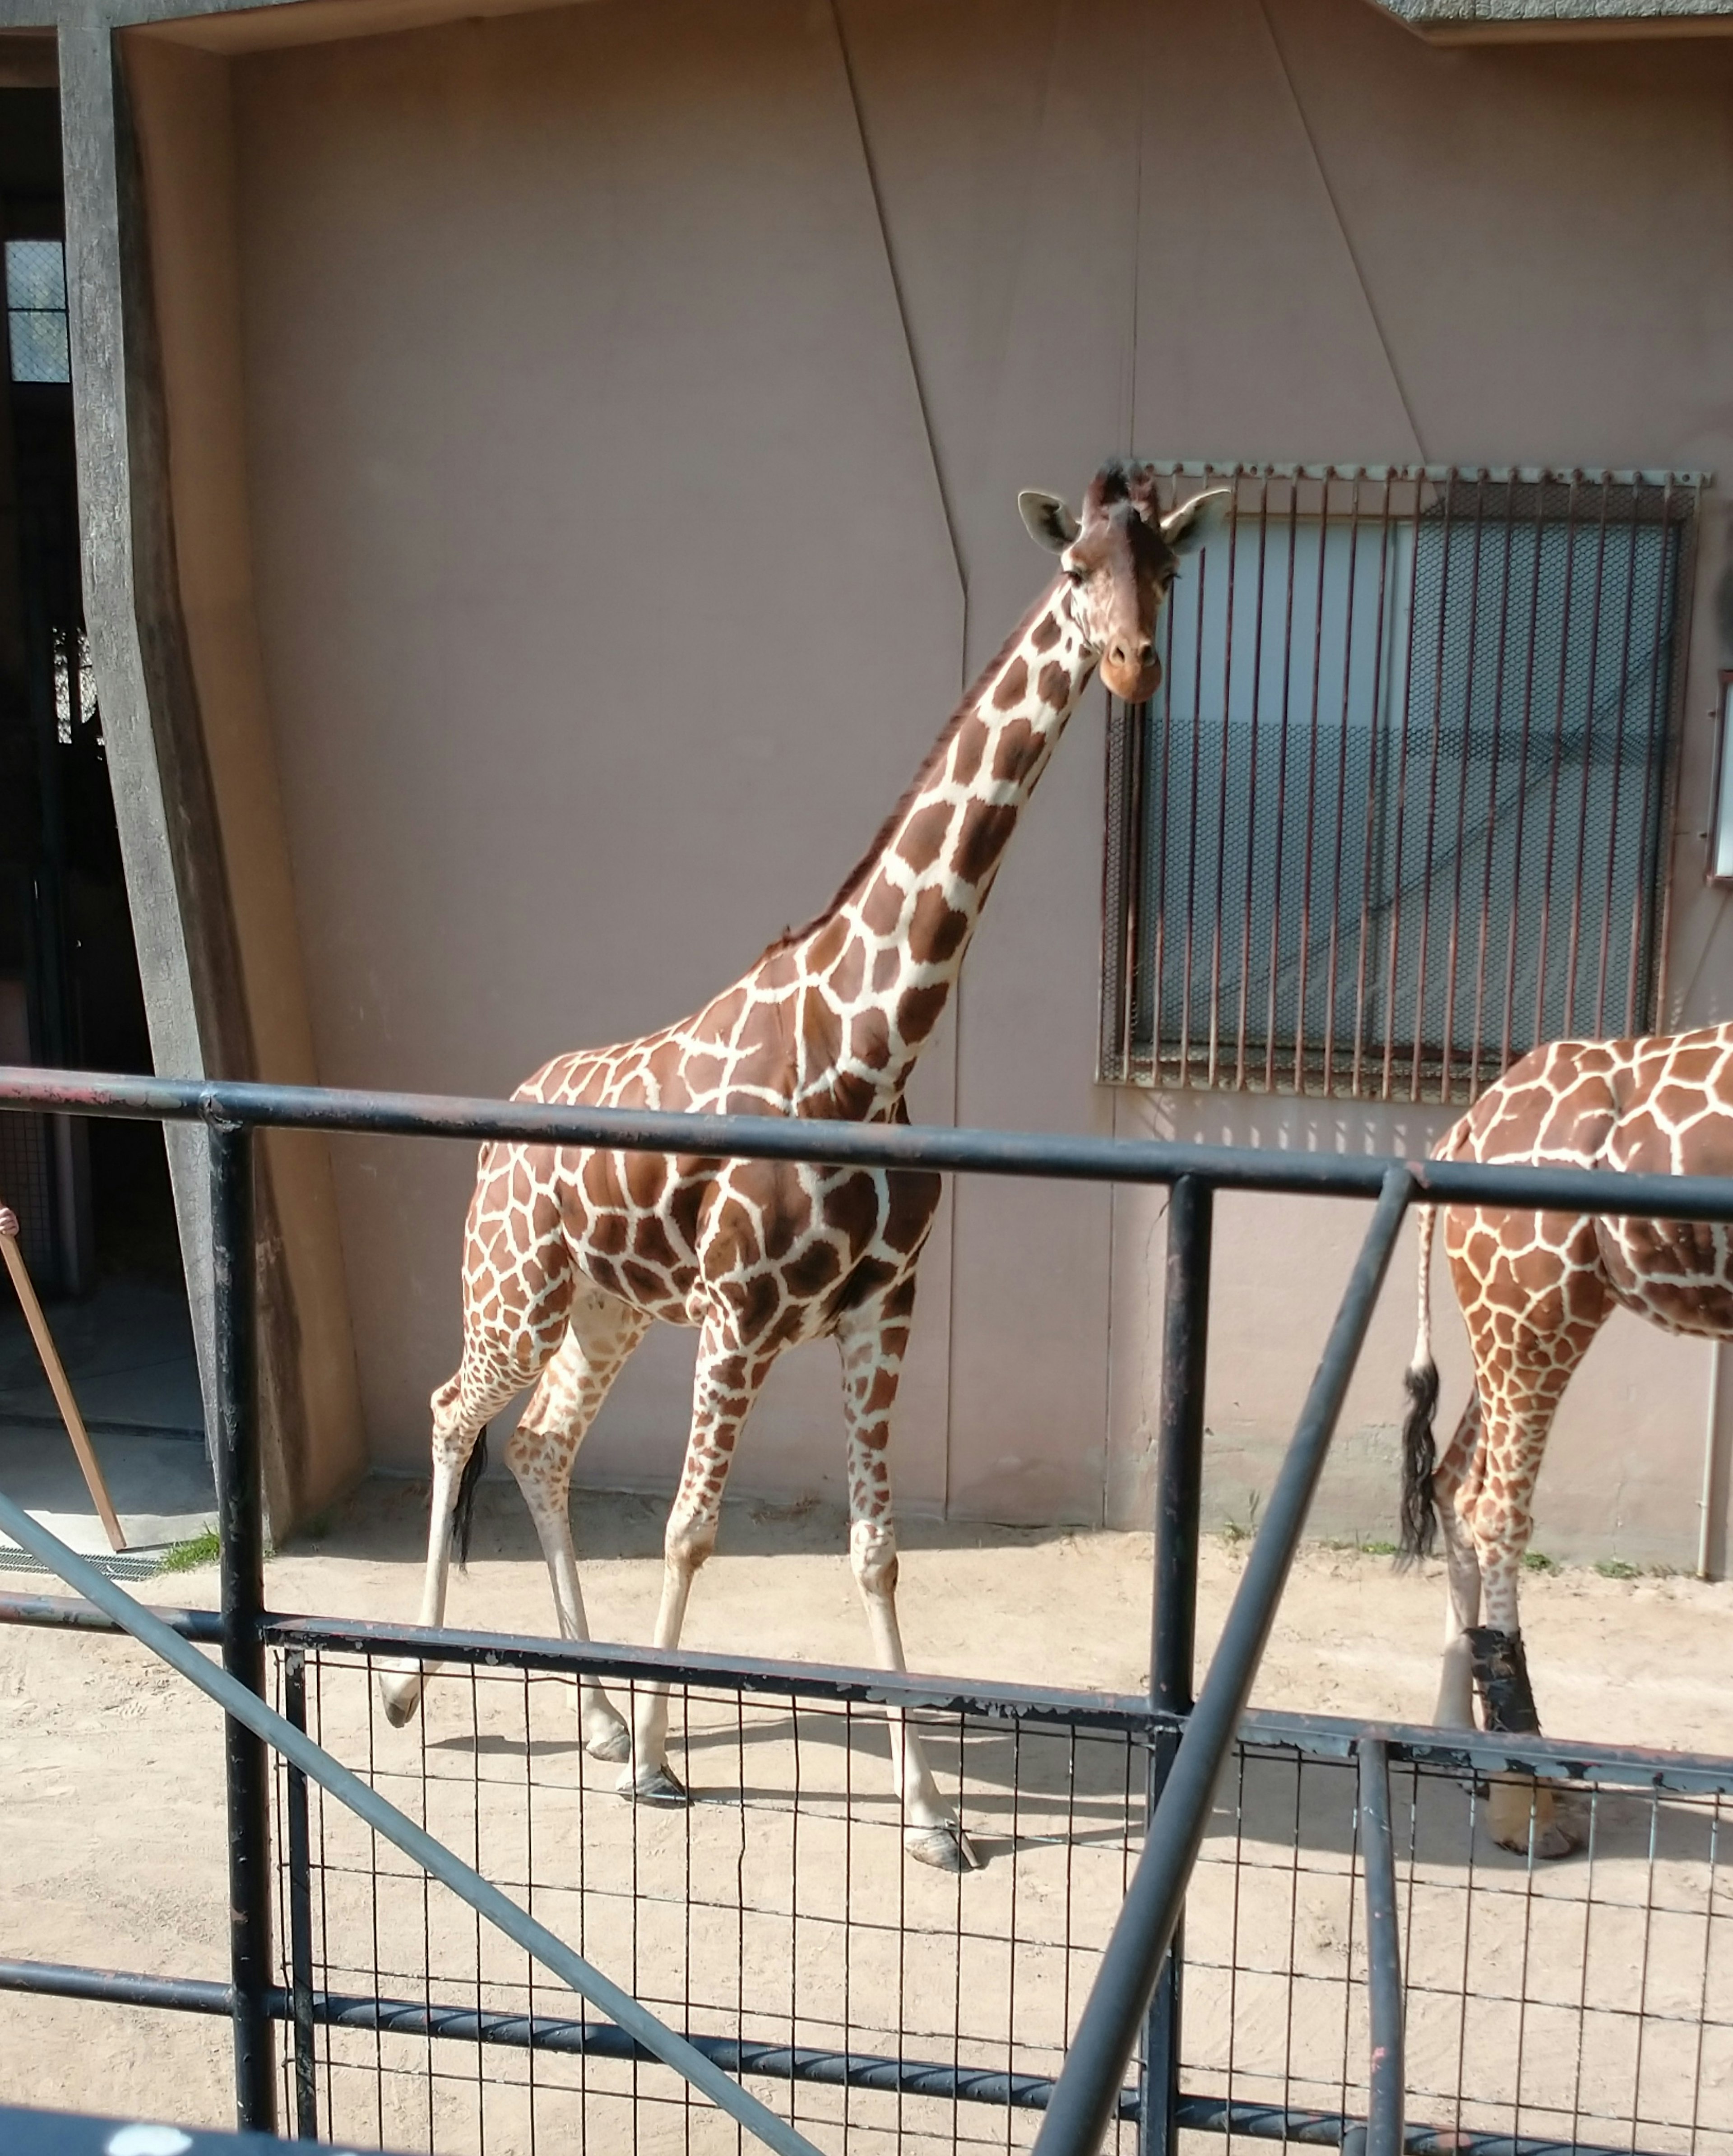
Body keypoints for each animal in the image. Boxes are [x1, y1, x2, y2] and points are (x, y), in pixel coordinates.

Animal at [379, 459, 1233, 1871]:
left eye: (1164, 566)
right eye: (1073, 571)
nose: (1133, 663)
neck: (870, 1046)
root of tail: (503, 1125)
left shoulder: (879, 1309)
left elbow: (877, 1550)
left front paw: (932, 1815)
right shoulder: (741, 1313)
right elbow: (690, 1531)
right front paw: (661, 1761)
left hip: (607, 1310)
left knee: (543, 1443)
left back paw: (596, 1716)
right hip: (515, 1290)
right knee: (456, 1409)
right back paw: (418, 1686)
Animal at [1405, 1022, 1733, 1854]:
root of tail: (1465, 1125)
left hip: (1505, 1308)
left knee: (1453, 1480)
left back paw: (1464, 1749)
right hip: (1538, 1297)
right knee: (1495, 1507)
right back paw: (1527, 1799)